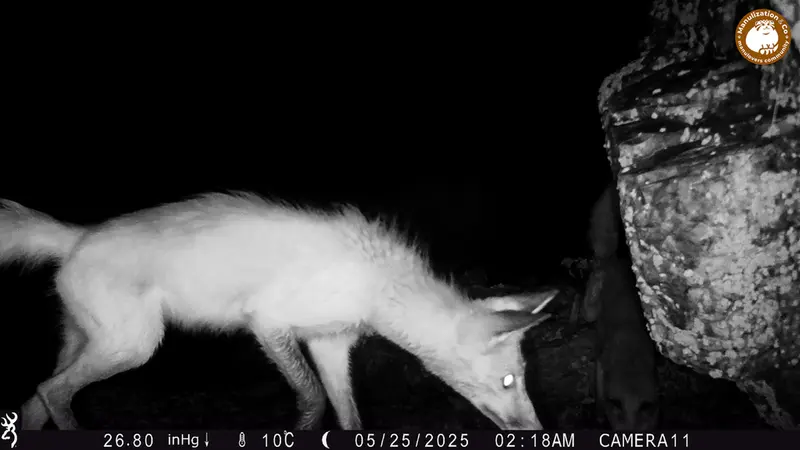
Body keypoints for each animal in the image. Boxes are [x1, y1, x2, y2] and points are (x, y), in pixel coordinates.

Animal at [0, 192, 557, 431]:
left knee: (36, 399)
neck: (376, 283)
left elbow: (348, 417)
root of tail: (77, 235)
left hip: (90, 343)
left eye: (523, 379)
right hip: (134, 347)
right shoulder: (268, 324)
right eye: (509, 381)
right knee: (53, 393)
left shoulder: (329, 344)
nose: (537, 433)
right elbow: (312, 403)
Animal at [585, 183, 659, 430]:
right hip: (592, 309)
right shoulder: (602, 364)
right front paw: (598, 414)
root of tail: (616, 260)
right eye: (621, 424)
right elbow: (599, 395)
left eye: (639, 430)